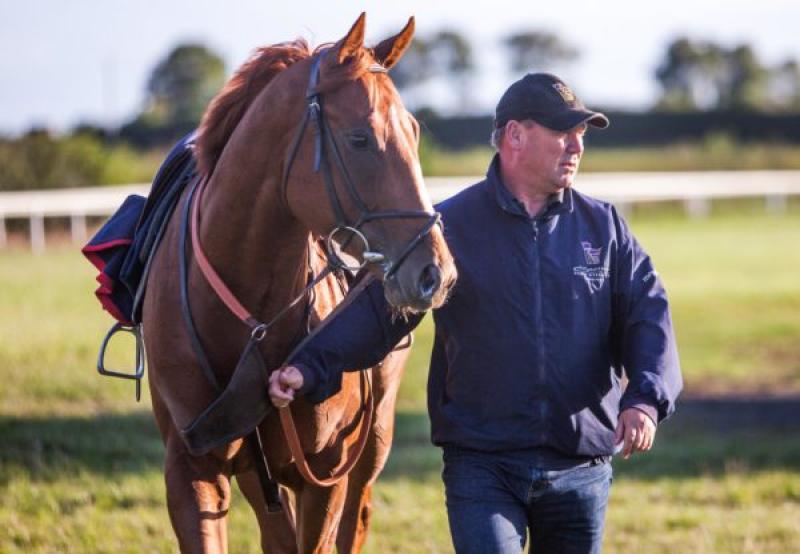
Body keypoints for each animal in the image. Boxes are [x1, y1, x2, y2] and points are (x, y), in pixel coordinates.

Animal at [140, 13, 457, 553]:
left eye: (414, 131)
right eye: (359, 138)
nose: (436, 272)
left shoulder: (325, 472)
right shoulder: (191, 468)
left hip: (372, 443)